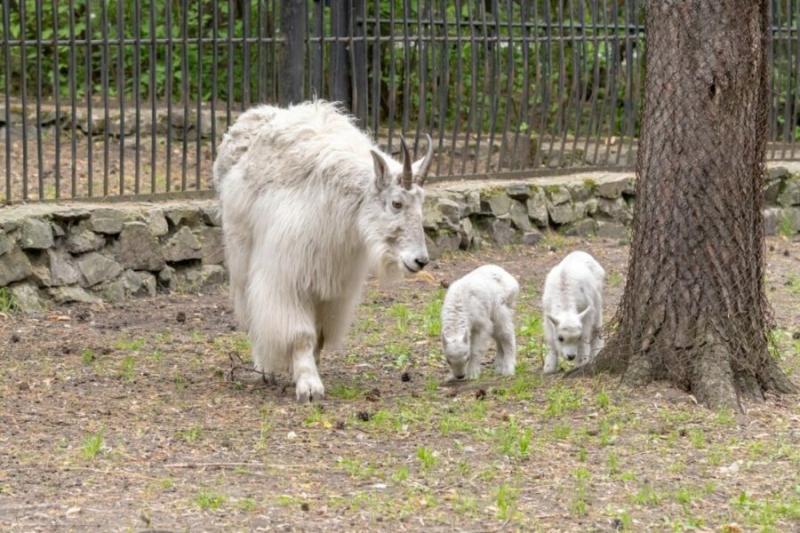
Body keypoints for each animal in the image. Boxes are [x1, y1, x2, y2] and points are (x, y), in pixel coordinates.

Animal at [212, 101, 434, 400]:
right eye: (396, 203)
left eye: (421, 203)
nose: (420, 260)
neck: (346, 206)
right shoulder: (289, 277)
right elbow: (301, 334)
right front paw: (309, 386)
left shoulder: (333, 287)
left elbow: (320, 336)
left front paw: (305, 372)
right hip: (240, 253)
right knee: (250, 309)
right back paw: (264, 368)